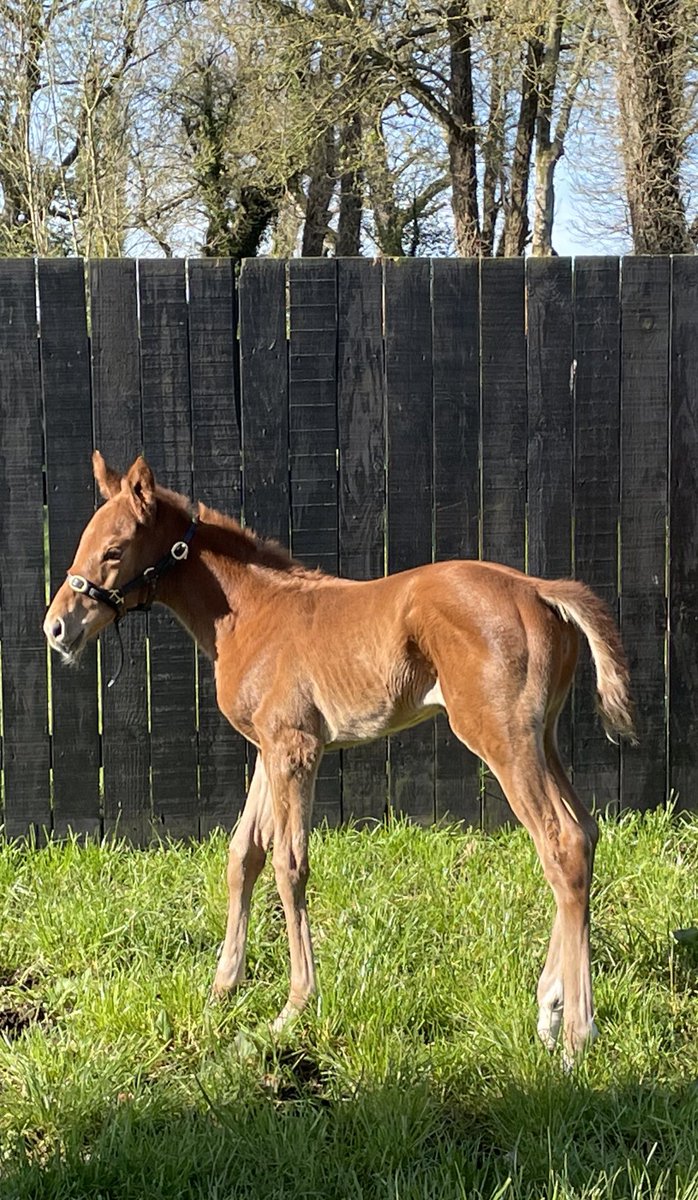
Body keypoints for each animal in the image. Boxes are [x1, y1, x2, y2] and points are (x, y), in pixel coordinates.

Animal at [44, 452, 636, 1063]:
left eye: (115, 550)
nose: (56, 628)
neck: (253, 614)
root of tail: (539, 589)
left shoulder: (294, 750)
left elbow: (289, 864)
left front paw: (294, 1006)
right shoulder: (268, 749)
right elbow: (243, 855)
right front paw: (222, 988)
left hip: (502, 738)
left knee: (559, 844)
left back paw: (576, 1034)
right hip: (543, 737)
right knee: (583, 833)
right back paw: (550, 1006)